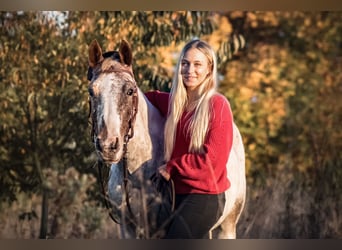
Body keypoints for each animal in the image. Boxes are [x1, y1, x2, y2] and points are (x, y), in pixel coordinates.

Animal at [87, 38, 244, 238]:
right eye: (92, 91)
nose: (108, 146)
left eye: (130, 91)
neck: (138, 175)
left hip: (227, 225)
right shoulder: (127, 228)